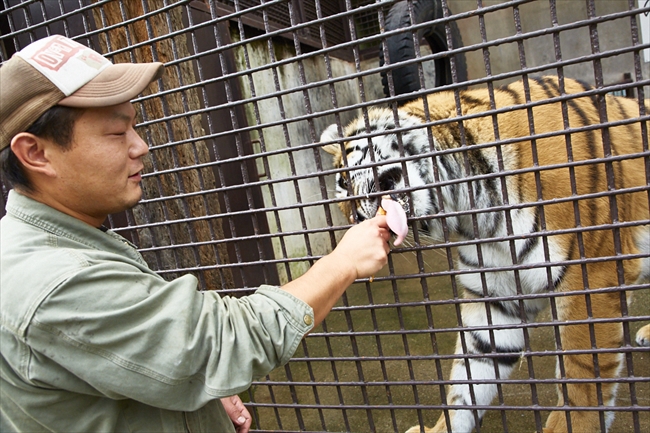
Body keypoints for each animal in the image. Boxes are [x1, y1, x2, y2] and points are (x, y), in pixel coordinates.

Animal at [320, 76, 650, 433]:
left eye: (343, 180)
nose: (355, 220)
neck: (471, 201)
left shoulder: (592, 277)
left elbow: (583, 382)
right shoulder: (496, 292)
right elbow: (469, 379)